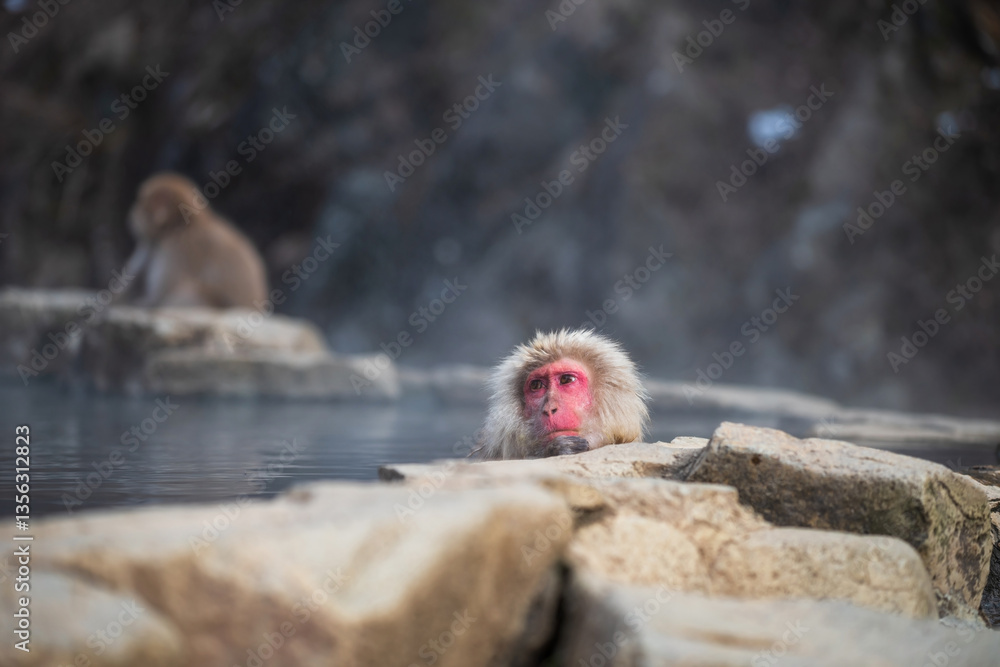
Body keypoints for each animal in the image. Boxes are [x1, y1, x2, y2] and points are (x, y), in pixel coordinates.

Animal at [119, 172, 268, 309]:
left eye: (140, 203)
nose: (131, 214)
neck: (183, 225)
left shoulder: (176, 248)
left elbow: (164, 291)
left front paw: (148, 302)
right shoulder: (153, 244)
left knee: (191, 290)